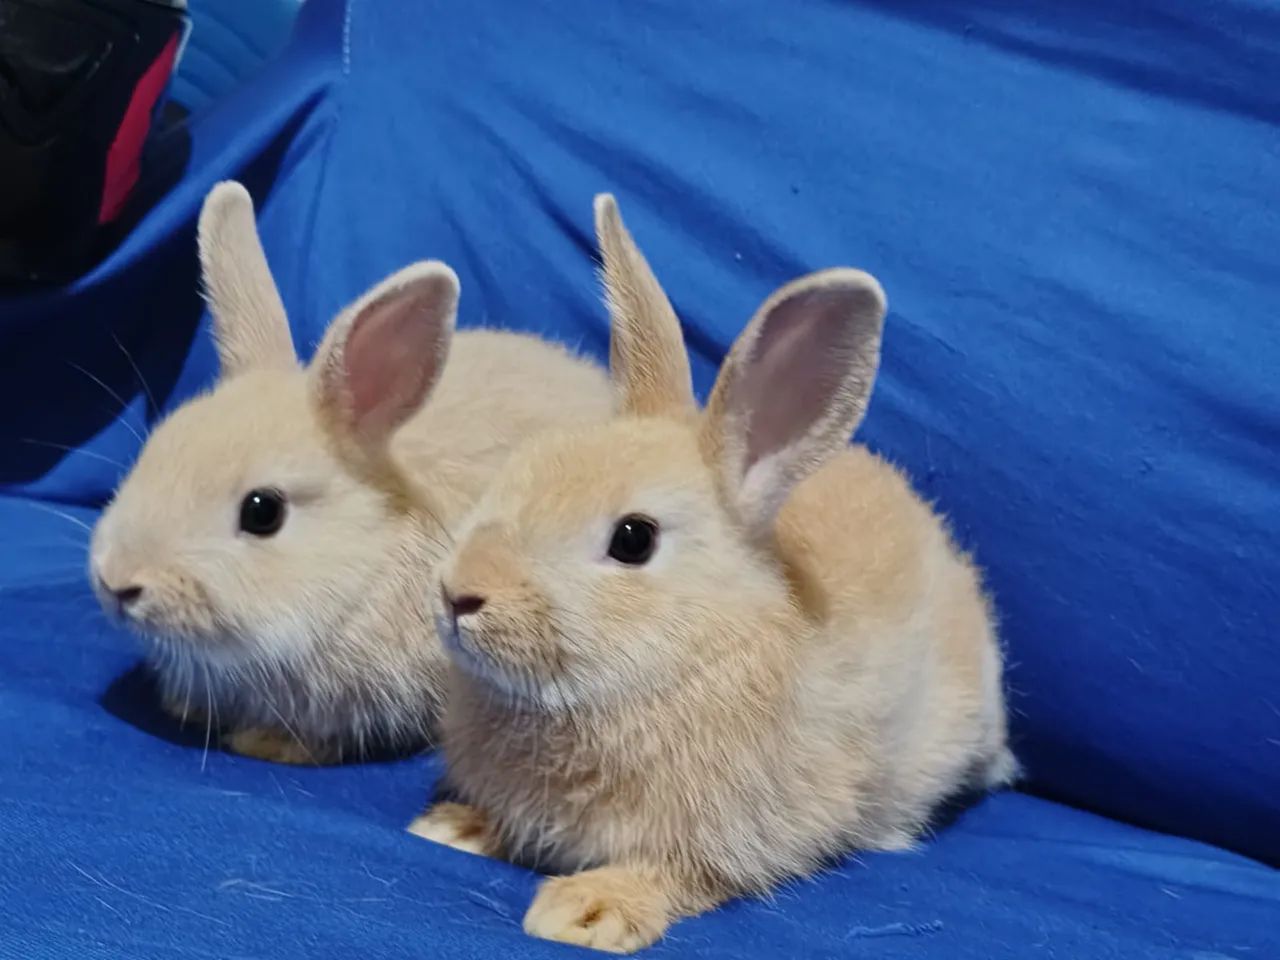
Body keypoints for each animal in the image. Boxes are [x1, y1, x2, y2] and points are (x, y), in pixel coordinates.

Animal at [408, 195, 1016, 953]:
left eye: (633, 539)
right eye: (522, 467)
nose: (458, 593)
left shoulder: (728, 836)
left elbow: (677, 873)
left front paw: (587, 913)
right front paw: (454, 826)